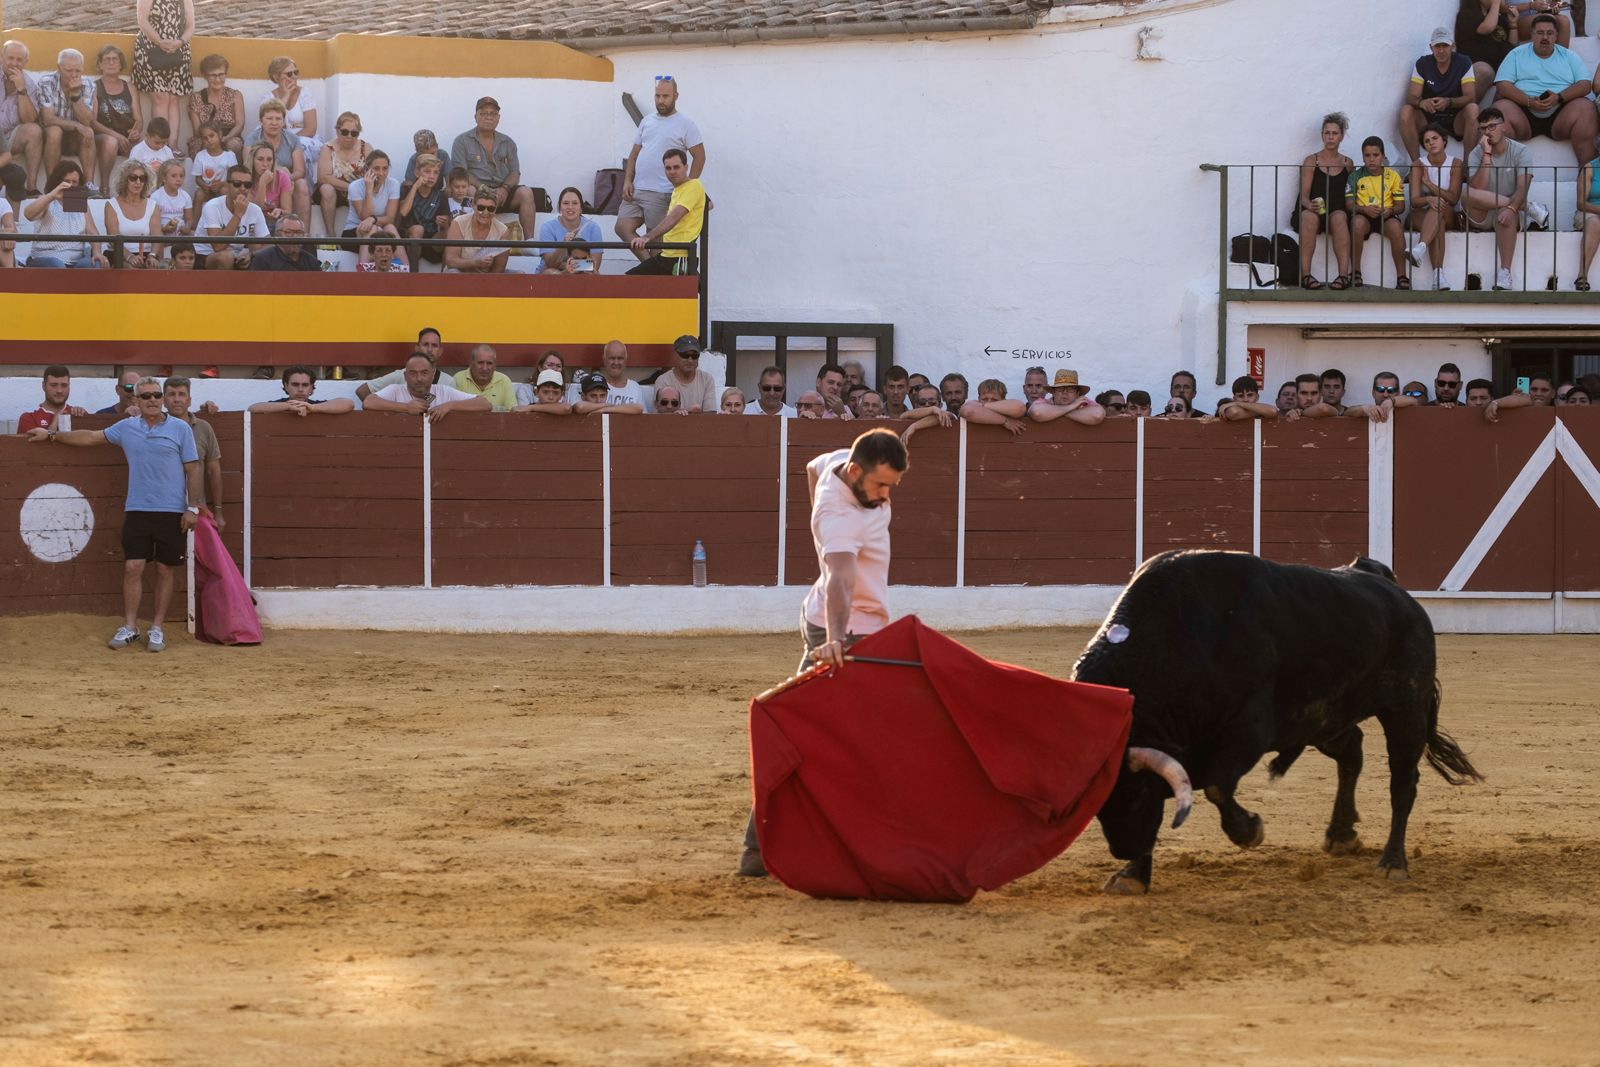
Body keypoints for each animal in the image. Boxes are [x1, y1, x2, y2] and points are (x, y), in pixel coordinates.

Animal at [1071, 549, 1482, 895]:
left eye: (1135, 795)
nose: (1124, 849)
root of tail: (1394, 589)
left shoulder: (1248, 731)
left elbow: (1217, 786)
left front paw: (1249, 831)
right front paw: (1131, 876)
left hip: (1406, 708)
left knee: (1403, 782)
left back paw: (1393, 863)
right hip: (1323, 718)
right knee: (1352, 752)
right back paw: (1341, 833)